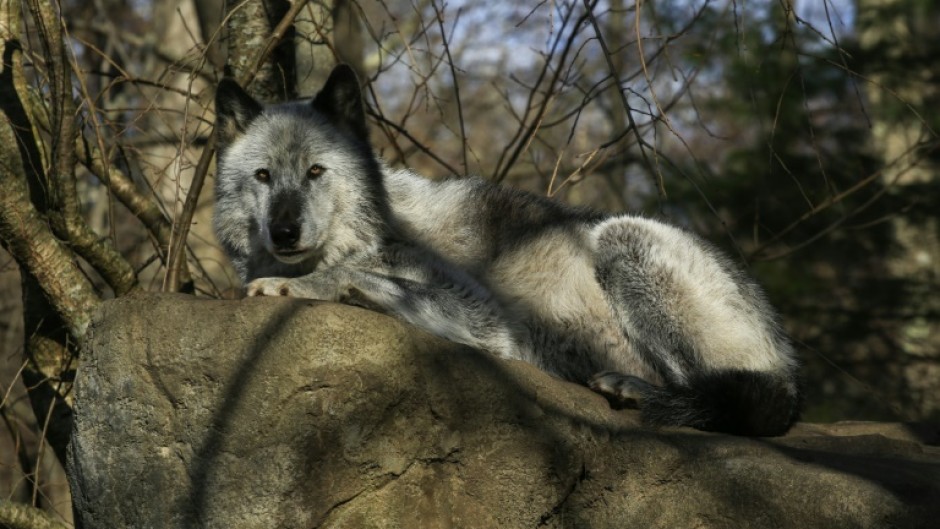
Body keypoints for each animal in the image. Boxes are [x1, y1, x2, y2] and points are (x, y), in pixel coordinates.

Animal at [214, 65, 801, 436]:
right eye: (263, 176)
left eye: (316, 171)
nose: (284, 232)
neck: (376, 229)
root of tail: (788, 355)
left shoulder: (494, 324)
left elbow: (354, 277)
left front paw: (299, 284)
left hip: (623, 238)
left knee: (723, 395)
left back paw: (636, 390)